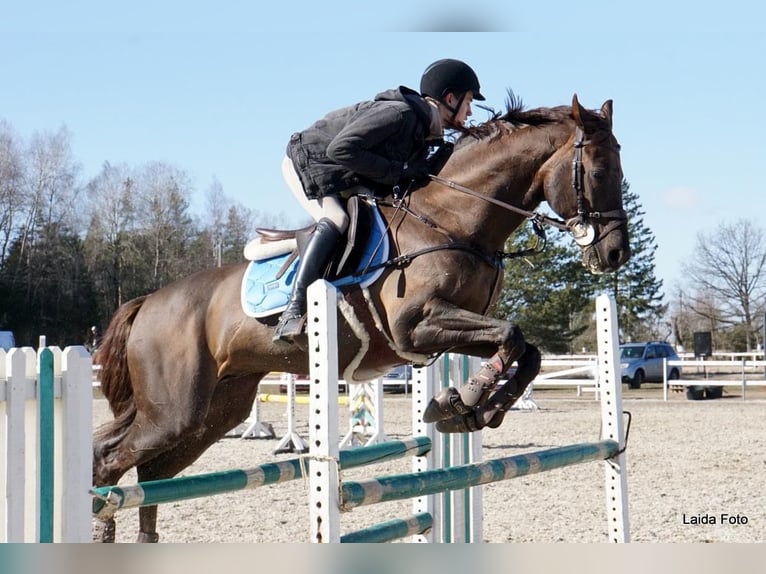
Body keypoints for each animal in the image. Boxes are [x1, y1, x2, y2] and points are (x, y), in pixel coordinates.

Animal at [91, 94, 632, 544]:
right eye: (600, 172)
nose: (615, 255)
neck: (453, 218)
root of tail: (149, 303)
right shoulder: (418, 326)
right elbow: (514, 336)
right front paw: (464, 400)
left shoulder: (447, 332)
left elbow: (526, 349)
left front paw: (471, 408)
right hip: (174, 410)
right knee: (110, 461)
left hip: (215, 410)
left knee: (148, 472)